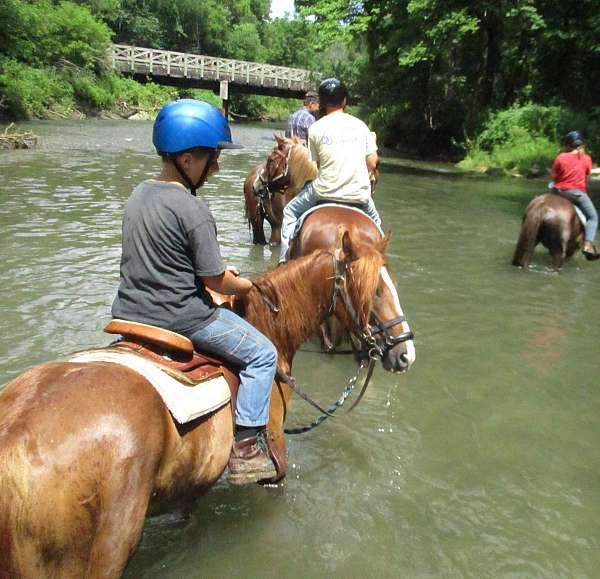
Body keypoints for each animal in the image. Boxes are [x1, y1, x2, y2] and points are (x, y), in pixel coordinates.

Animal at [0, 230, 412, 579]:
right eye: (376, 290)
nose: (405, 352)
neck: (270, 330)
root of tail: (12, 440)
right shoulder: (276, 451)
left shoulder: (190, 481)